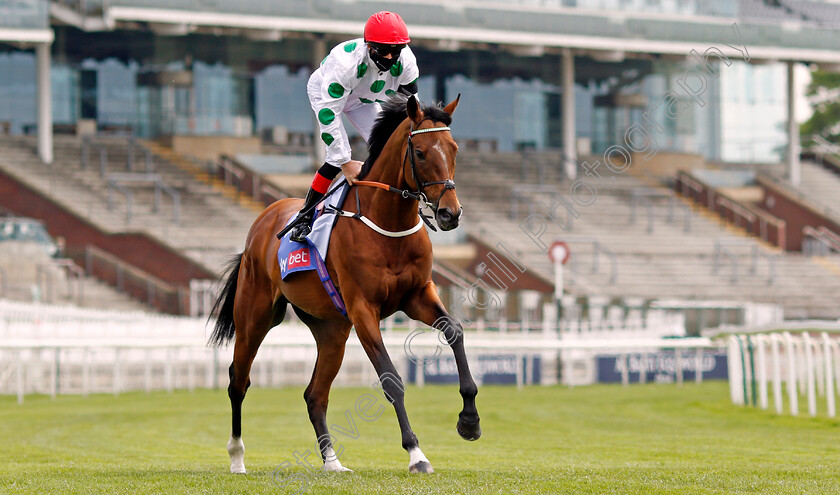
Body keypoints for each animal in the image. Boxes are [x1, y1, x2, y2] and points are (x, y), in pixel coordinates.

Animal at [210, 93, 482, 476]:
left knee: (315, 394)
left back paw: (332, 461)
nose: (449, 214)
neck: (388, 222)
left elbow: (454, 331)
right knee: (239, 380)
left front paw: (469, 421)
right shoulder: (363, 308)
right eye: (420, 153)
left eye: (454, 149)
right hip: (255, 315)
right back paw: (237, 456)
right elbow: (391, 379)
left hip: (331, 330)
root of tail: (264, 218)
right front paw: (416, 453)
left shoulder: (417, 296)